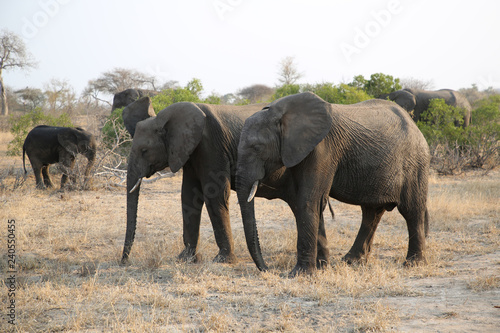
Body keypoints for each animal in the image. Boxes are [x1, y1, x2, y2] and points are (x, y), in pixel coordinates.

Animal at [119, 96, 286, 264]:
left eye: (144, 151)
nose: (123, 262)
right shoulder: (189, 151)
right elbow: (189, 195)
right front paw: (186, 259)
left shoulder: (212, 146)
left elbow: (215, 195)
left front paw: (223, 260)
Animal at [235, 92, 430, 276]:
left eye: (257, 148)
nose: (267, 269)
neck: (279, 113)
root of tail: (415, 126)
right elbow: (307, 203)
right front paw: (321, 268)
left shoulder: (323, 148)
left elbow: (308, 201)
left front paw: (300, 274)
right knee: (371, 212)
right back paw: (351, 261)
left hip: (415, 163)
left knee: (411, 210)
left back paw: (412, 264)